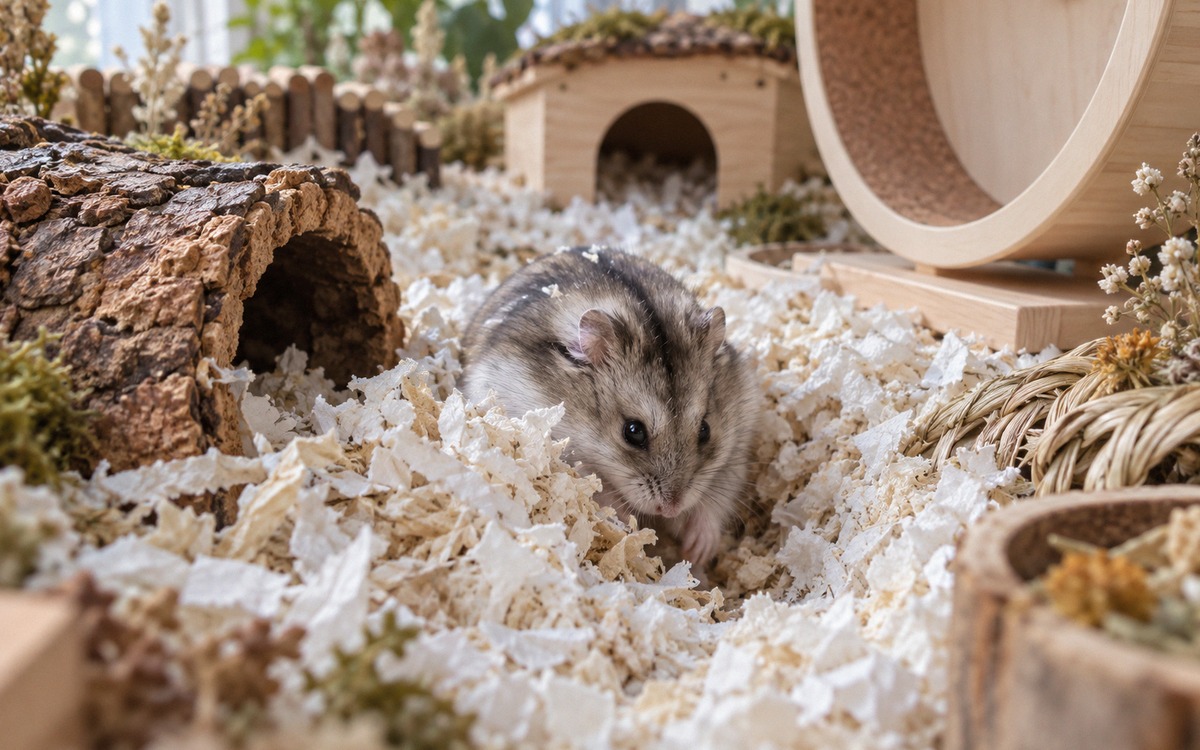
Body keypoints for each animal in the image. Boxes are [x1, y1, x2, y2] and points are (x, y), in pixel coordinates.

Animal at [460, 246, 759, 567]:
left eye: (705, 430)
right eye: (633, 431)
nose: (671, 509)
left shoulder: (738, 445)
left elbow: (714, 501)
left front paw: (698, 548)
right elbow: (595, 487)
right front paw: (630, 522)